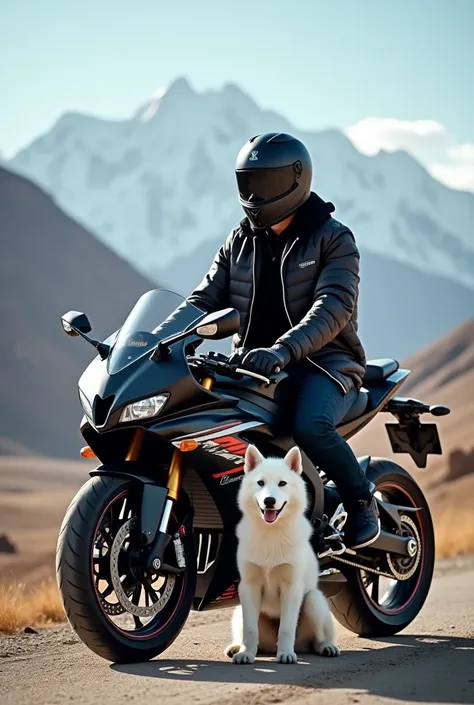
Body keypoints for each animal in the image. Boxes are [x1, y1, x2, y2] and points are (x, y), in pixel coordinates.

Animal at [225, 446, 338, 664]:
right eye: (260, 483)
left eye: (282, 483)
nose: (269, 501)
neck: (271, 532)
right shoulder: (249, 587)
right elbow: (250, 630)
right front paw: (246, 654)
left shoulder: (291, 588)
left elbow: (286, 628)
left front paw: (285, 653)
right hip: (238, 611)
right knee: (246, 634)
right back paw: (237, 648)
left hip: (314, 601)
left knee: (319, 640)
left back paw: (326, 647)